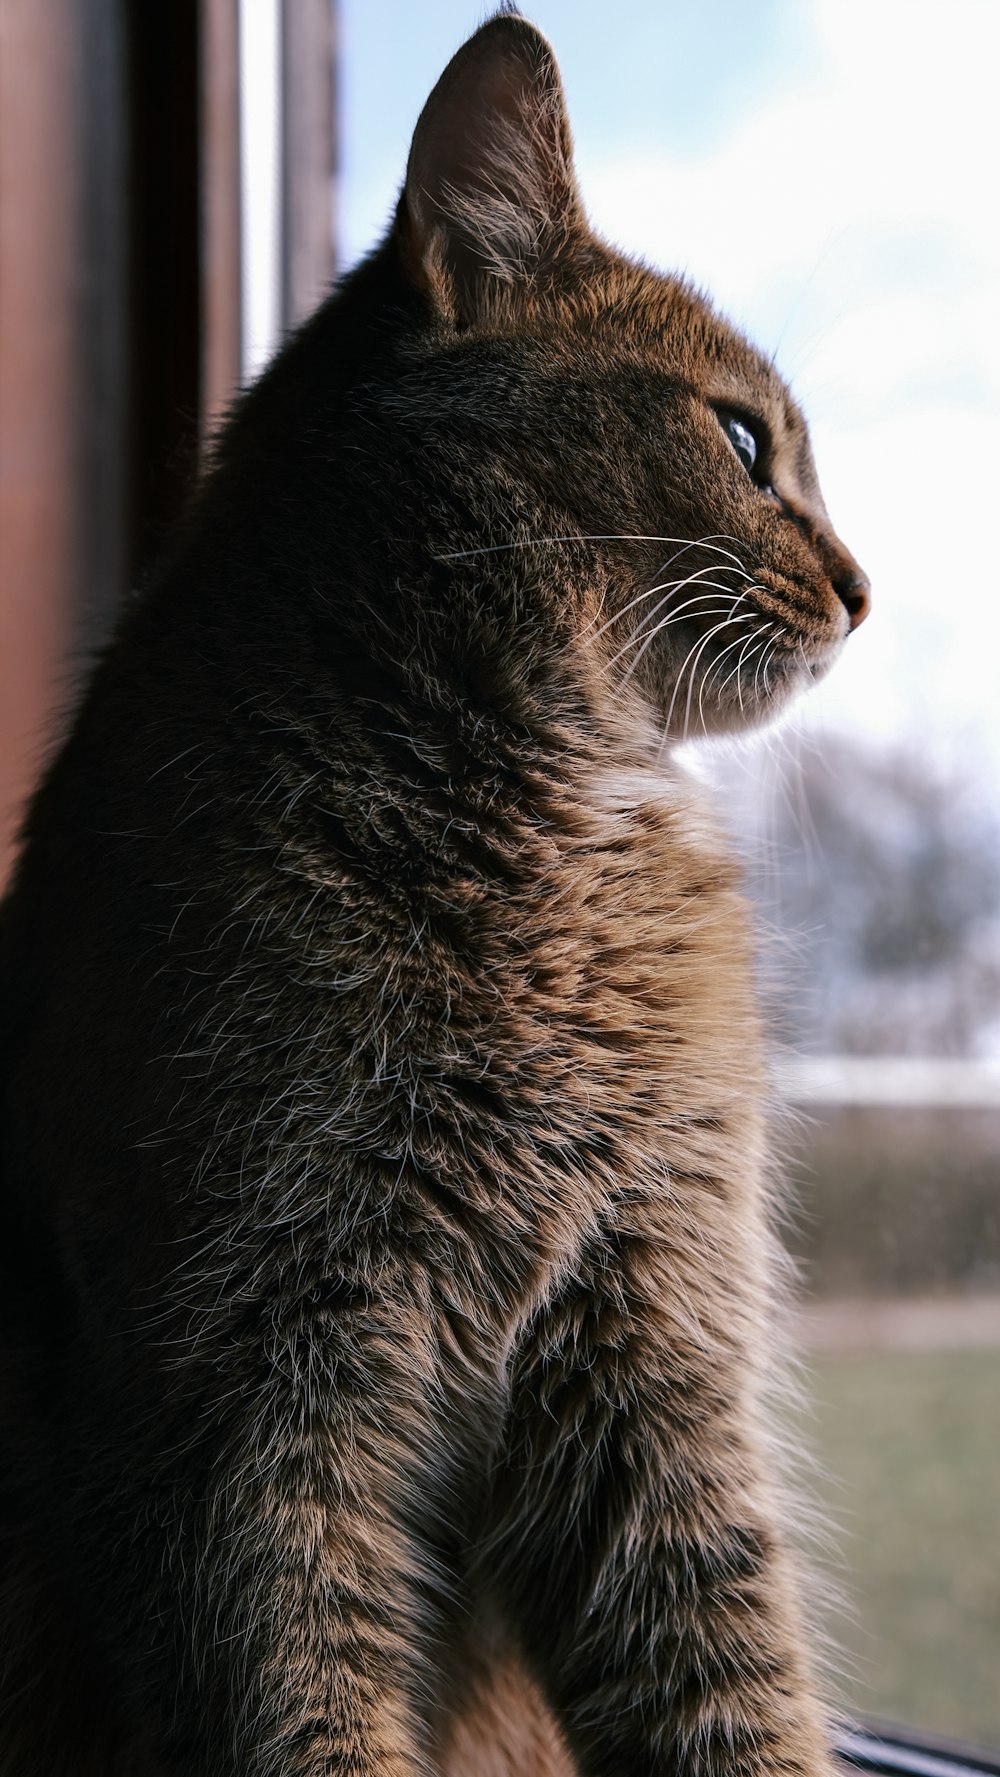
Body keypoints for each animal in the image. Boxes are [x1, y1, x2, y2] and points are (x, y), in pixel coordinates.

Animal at [0, 13, 870, 1777]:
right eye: (747, 441)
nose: (864, 588)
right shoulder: (242, 1405)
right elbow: (302, 1707)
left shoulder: (652, 1347)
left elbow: (733, 1685)